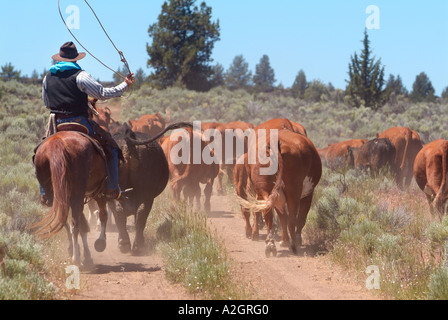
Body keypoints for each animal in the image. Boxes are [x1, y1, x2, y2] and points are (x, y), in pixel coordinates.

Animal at [31, 131, 109, 268]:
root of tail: (57, 143)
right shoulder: (97, 192)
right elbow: (101, 216)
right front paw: (99, 243)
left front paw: (83, 253)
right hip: (81, 195)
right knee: (76, 224)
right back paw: (76, 258)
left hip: (57, 196)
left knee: (64, 220)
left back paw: (75, 253)